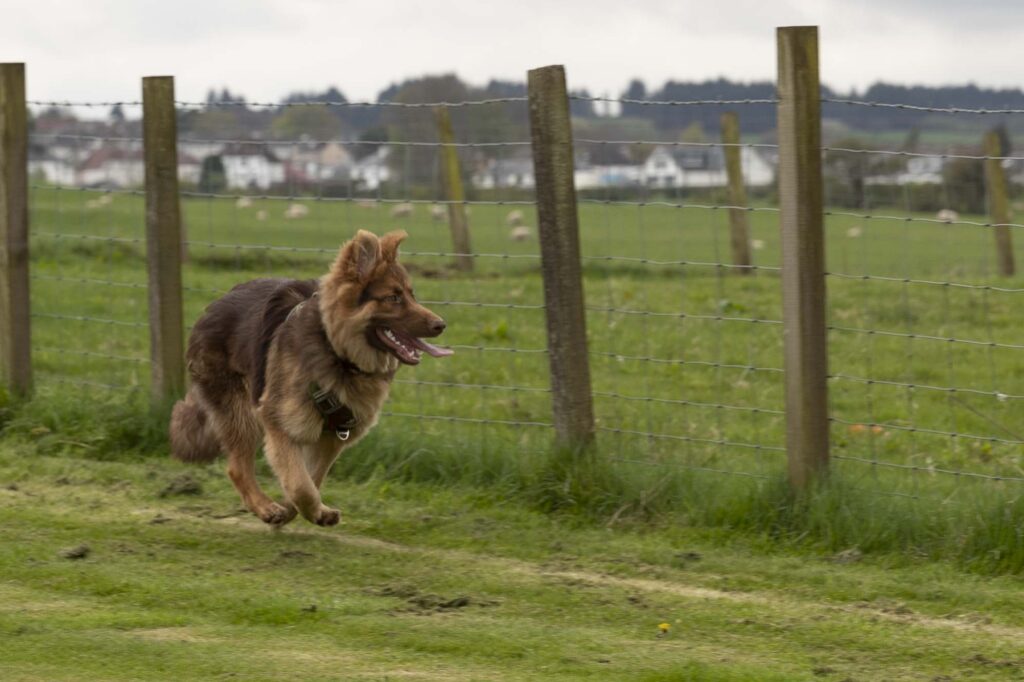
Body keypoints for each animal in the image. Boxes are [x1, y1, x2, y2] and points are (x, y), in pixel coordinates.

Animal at [167, 229, 448, 524]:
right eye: (394, 298)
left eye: (412, 295)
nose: (441, 325)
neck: (337, 351)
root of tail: (213, 307)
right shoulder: (281, 425)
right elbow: (301, 484)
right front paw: (301, 509)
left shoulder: (333, 436)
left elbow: (311, 478)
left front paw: (303, 510)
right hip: (241, 413)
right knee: (237, 468)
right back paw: (265, 507)